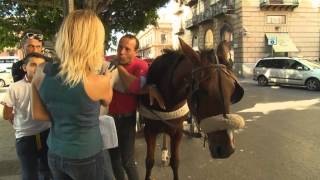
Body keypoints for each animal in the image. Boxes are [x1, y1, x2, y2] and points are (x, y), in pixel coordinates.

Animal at [138, 38, 245, 180]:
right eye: (202, 91)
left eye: (233, 90)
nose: (227, 149)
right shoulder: (149, 131)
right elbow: (149, 162)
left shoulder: (177, 131)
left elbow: (175, 162)